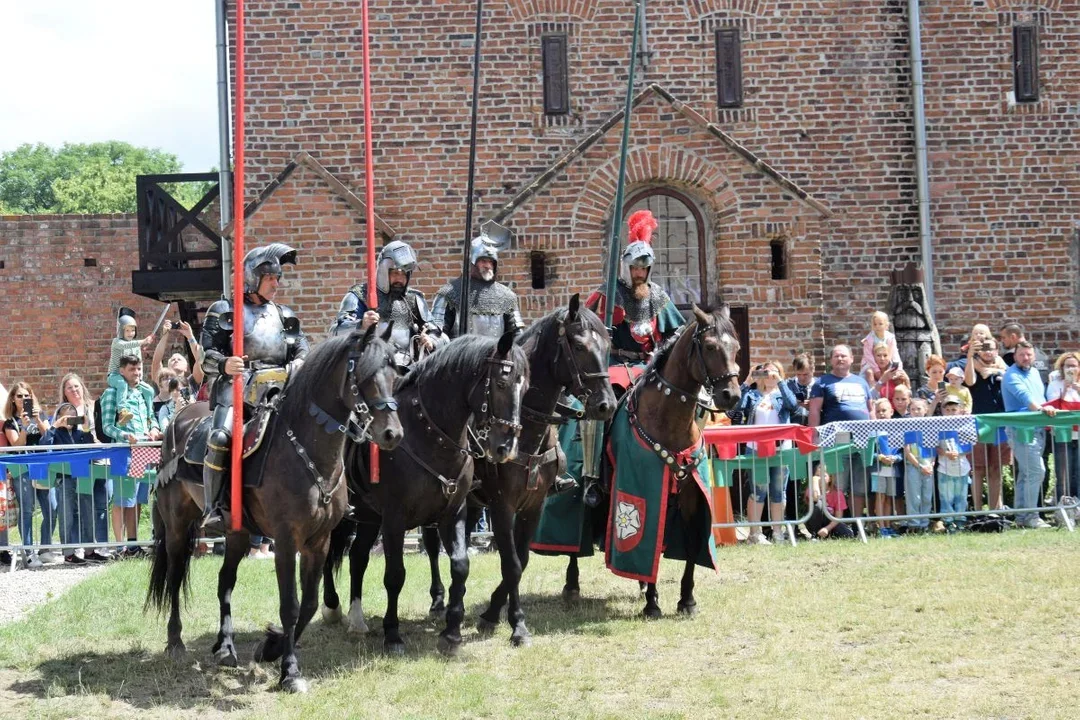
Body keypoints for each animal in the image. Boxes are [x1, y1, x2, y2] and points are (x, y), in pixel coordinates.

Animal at [147, 325, 406, 690]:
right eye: (365, 375)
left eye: (395, 374)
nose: (392, 434)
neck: (306, 450)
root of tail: (178, 419)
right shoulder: (285, 540)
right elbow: (290, 605)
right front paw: (290, 673)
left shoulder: (318, 542)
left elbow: (309, 603)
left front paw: (271, 648)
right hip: (176, 525)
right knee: (173, 575)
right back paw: (175, 641)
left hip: (238, 532)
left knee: (225, 581)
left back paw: (225, 647)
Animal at [319, 334, 531, 660]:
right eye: (501, 383)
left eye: (526, 386)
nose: (505, 448)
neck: (427, 435)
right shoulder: (394, 520)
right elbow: (395, 575)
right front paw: (392, 634)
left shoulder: (453, 514)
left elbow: (460, 566)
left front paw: (452, 632)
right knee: (331, 556)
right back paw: (332, 607)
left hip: (369, 518)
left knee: (357, 557)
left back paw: (357, 619)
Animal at [425, 293, 622, 647]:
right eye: (579, 345)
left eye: (606, 344)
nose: (606, 405)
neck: (526, 425)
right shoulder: (502, 505)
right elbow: (512, 564)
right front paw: (516, 626)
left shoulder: (535, 505)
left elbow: (522, 558)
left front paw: (492, 612)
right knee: (434, 546)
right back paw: (438, 601)